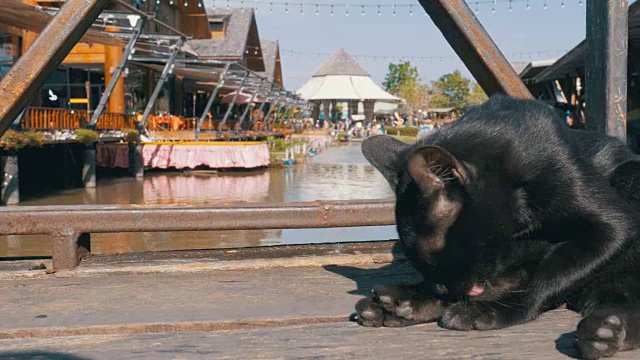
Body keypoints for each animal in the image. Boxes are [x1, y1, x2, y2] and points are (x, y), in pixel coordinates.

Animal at [356, 95, 640, 360]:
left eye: (438, 256)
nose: (441, 289)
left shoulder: (613, 226)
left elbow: (546, 279)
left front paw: (499, 309)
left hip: (628, 176)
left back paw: (606, 332)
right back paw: (400, 304)